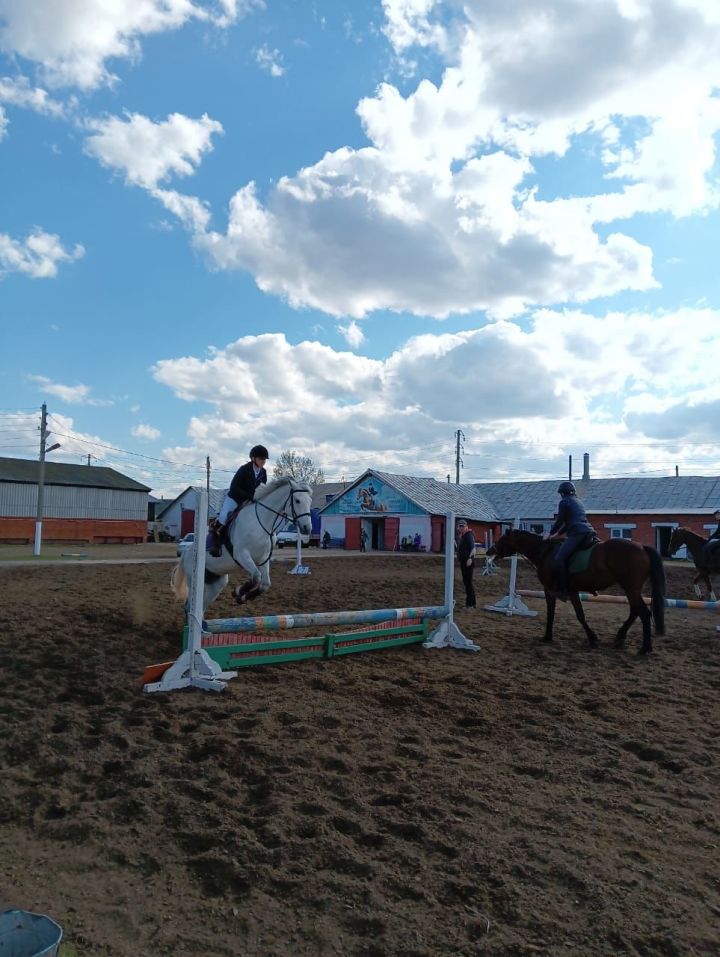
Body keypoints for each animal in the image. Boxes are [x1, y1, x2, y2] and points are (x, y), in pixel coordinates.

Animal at [172, 476, 316, 612]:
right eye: (297, 500)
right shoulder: (242, 555)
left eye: (310, 501)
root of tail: (186, 553)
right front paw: (238, 592)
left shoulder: (262, 559)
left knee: (202, 606)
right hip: (194, 579)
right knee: (189, 606)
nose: (307, 528)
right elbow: (256, 577)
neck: (262, 521)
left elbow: (265, 584)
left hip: (216, 583)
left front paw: (243, 596)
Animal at [486, 528, 668, 652]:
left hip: (631, 588)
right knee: (635, 611)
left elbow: (570, 614)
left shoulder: (553, 590)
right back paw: (620, 637)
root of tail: (642, 547)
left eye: (502, 539)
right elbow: (569, 614)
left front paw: (550, 636)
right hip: (631, 589)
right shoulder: (568, 591)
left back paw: (645, 648)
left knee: (643, 613)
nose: (489, 551)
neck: (544, 552)